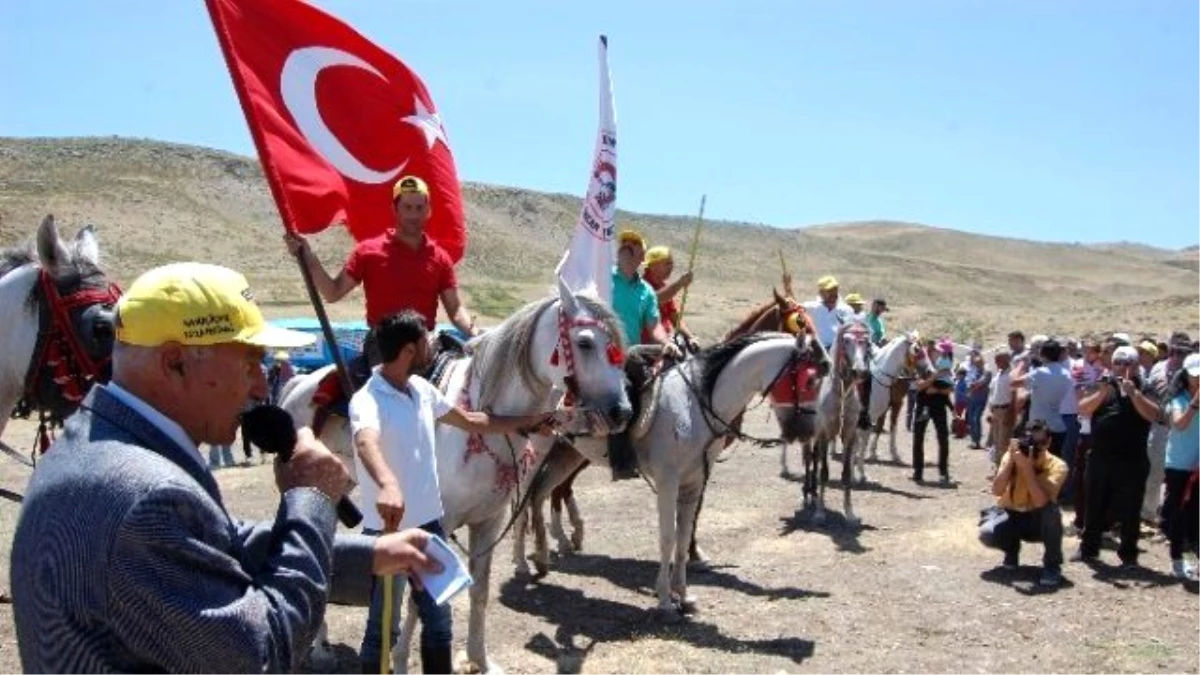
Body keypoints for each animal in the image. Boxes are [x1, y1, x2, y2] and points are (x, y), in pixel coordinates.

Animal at [279, 276, 628, 667]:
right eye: (584, 342)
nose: (621, 412)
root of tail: (298, 385)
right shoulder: (436, 525)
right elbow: (421, 601)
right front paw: (400, 659)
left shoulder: (488, 522)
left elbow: (480, 591)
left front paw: (479, 659)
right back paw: (320, 649)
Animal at [801, 321, 868, 526]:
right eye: (846, 341)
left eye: (867, 342)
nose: (860, 371)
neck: (841, 393)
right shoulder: (824, 435)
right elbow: (824, 472)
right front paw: (820, 513)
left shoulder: (849, 436)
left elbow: (846, 474)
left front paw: (850, 513)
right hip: (810, 435)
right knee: (810, 458)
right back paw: (807, 494)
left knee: (814, 458)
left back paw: (813, 493)